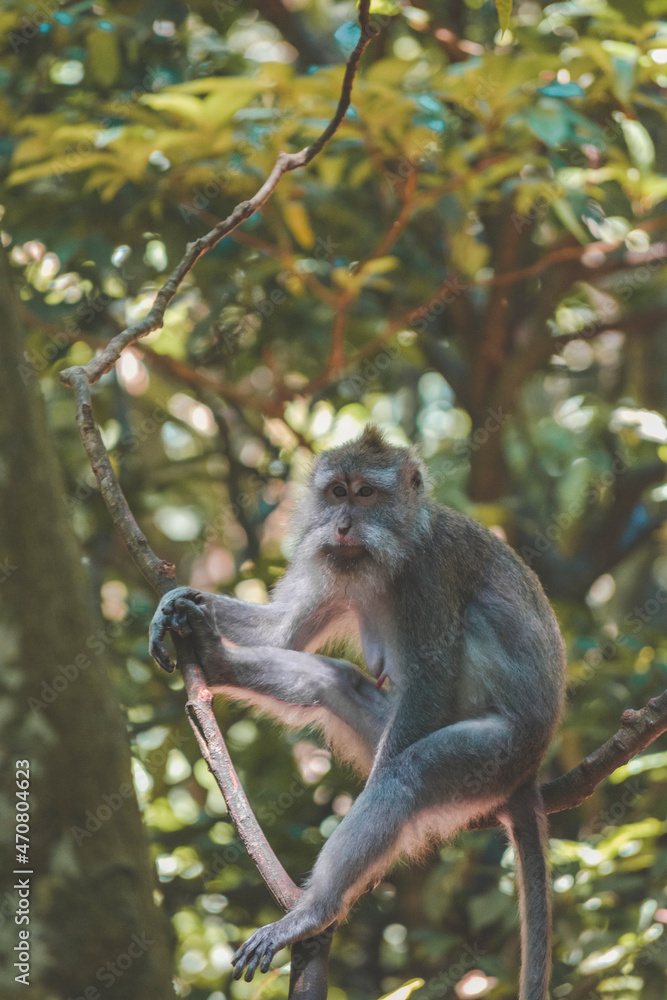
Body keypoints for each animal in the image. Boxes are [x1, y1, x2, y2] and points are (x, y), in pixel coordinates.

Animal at [149, 425, 566, 998]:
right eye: (336, 493)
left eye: (366, 493)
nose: (343, 526)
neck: (400, 545)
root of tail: (529, 771)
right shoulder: (335, 564)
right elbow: (283, 633)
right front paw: (184, 612)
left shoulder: (428, 575)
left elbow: (430, 677)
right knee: (332, 681)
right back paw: (218, 661)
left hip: (495, 757)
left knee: (404, 776)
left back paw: (314, 910)